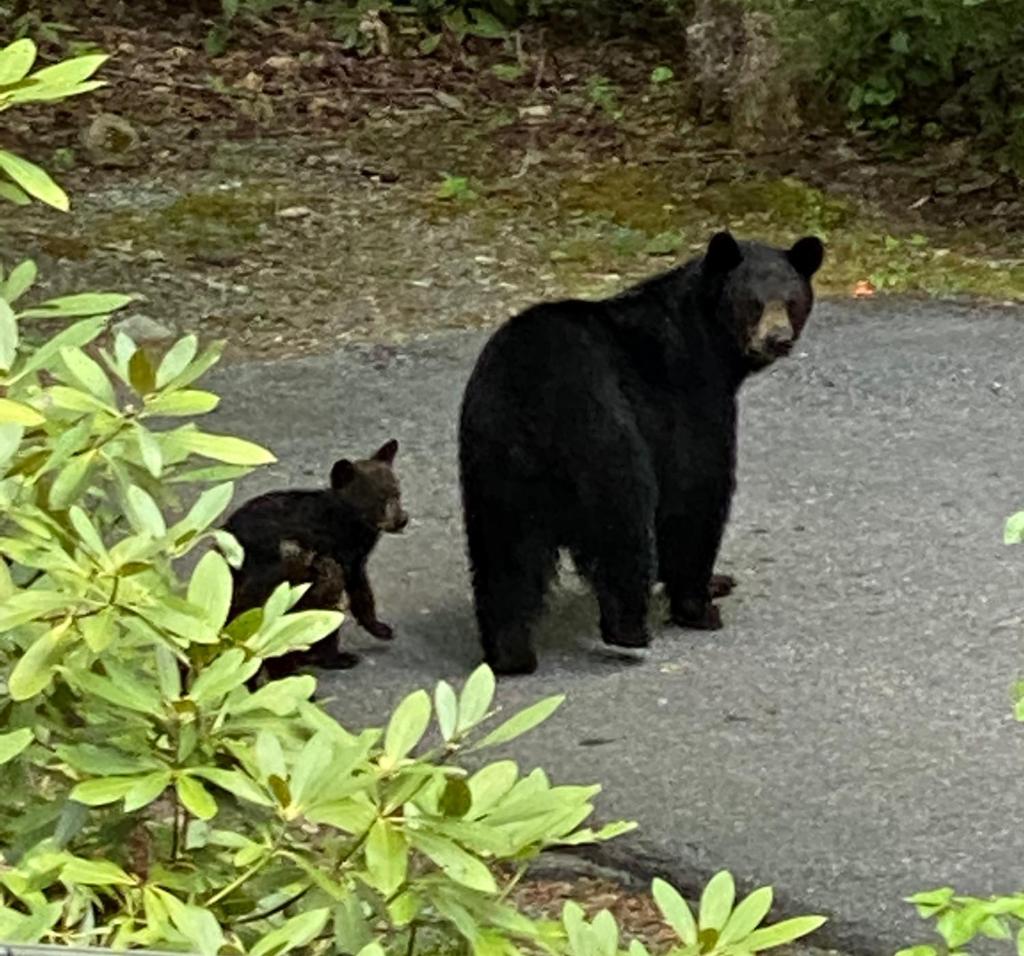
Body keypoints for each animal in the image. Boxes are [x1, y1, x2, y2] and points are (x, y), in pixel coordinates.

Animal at [226, 442, 409, 679]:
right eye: (378, 499)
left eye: (397, 493)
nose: (402, 520)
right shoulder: (337, 553)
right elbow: (355, 591)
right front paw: (374, 631)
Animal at [458, 231, 823, 675]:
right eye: (752, 303)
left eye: (791, 301)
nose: (778, 339)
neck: (709, 342)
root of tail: (531, 394)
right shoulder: (691, 400)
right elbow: (698, 492)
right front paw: (699, 602)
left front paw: (717, 582)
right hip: (603, 437)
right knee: (624, 526)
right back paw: (630, 631)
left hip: (494, 465)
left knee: (503, 559)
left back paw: (510, 655)